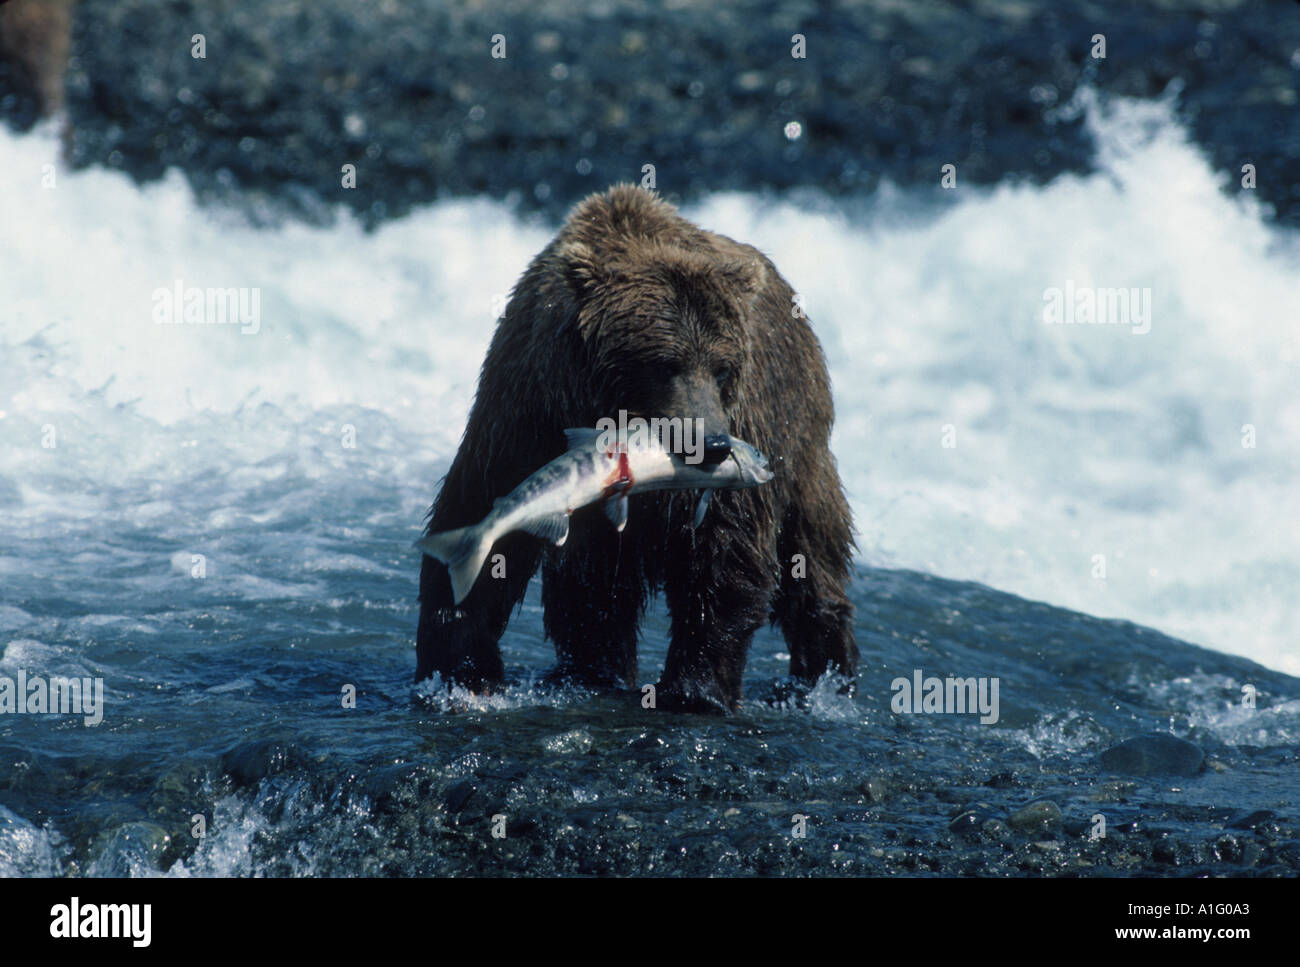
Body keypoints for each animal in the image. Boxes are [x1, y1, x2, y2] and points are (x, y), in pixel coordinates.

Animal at [416, 183, 857, 712]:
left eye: (722, 367)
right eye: (665, 363)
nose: (711, 444)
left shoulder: (747, 421)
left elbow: (726, 553)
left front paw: (696, 689)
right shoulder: (525, 411)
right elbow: (481, 508)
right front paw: (459, 666)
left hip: (801, 438)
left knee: (811, 560)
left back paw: (826, 674)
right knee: (593, 584)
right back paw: (592, 671)